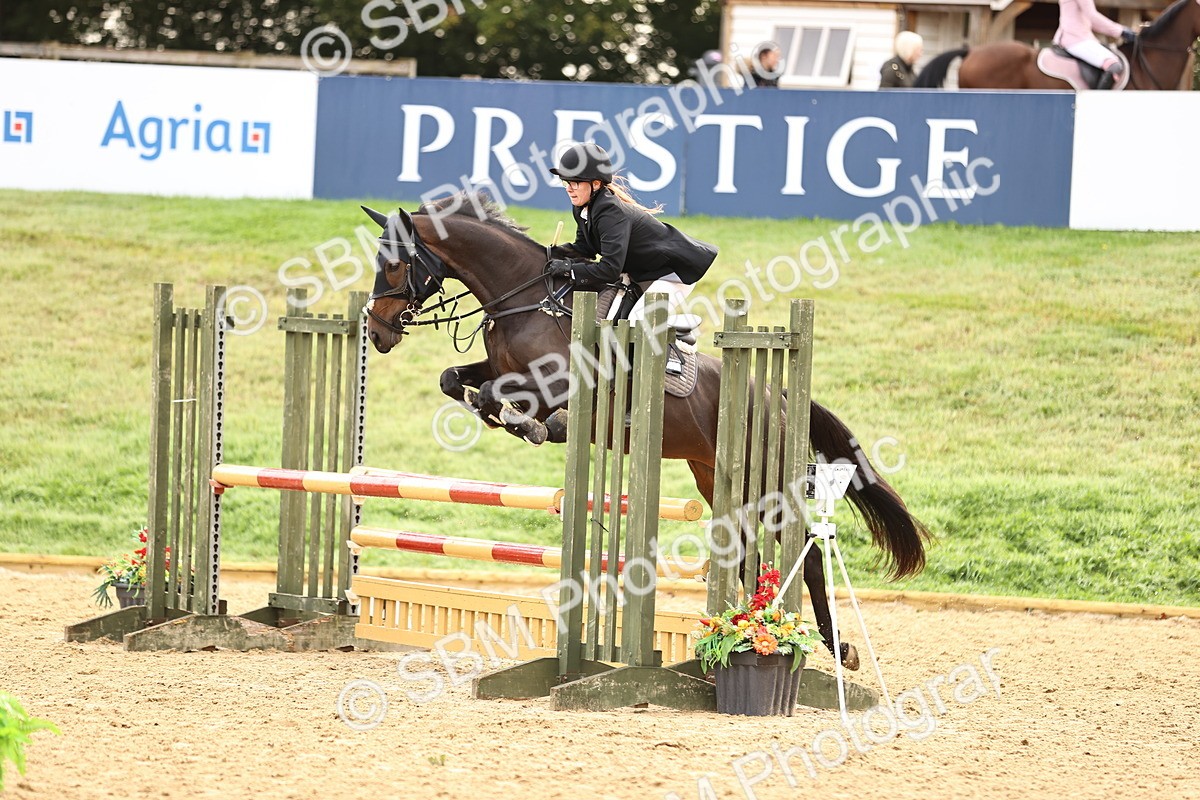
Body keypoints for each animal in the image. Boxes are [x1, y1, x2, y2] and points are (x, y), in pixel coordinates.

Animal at [361, 194, 930, 670]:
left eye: (394, 264)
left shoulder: (557, 384)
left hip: (767, 478)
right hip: (718, 477)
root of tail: (780, 395)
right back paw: (754, 631)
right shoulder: (498, 368)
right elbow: (455, 379)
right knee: (749, 555)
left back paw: (833, 647)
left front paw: (534, 424)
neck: (526, 300)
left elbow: (510, 398)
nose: (377, 331)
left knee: (807, 554)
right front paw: (495, 413)